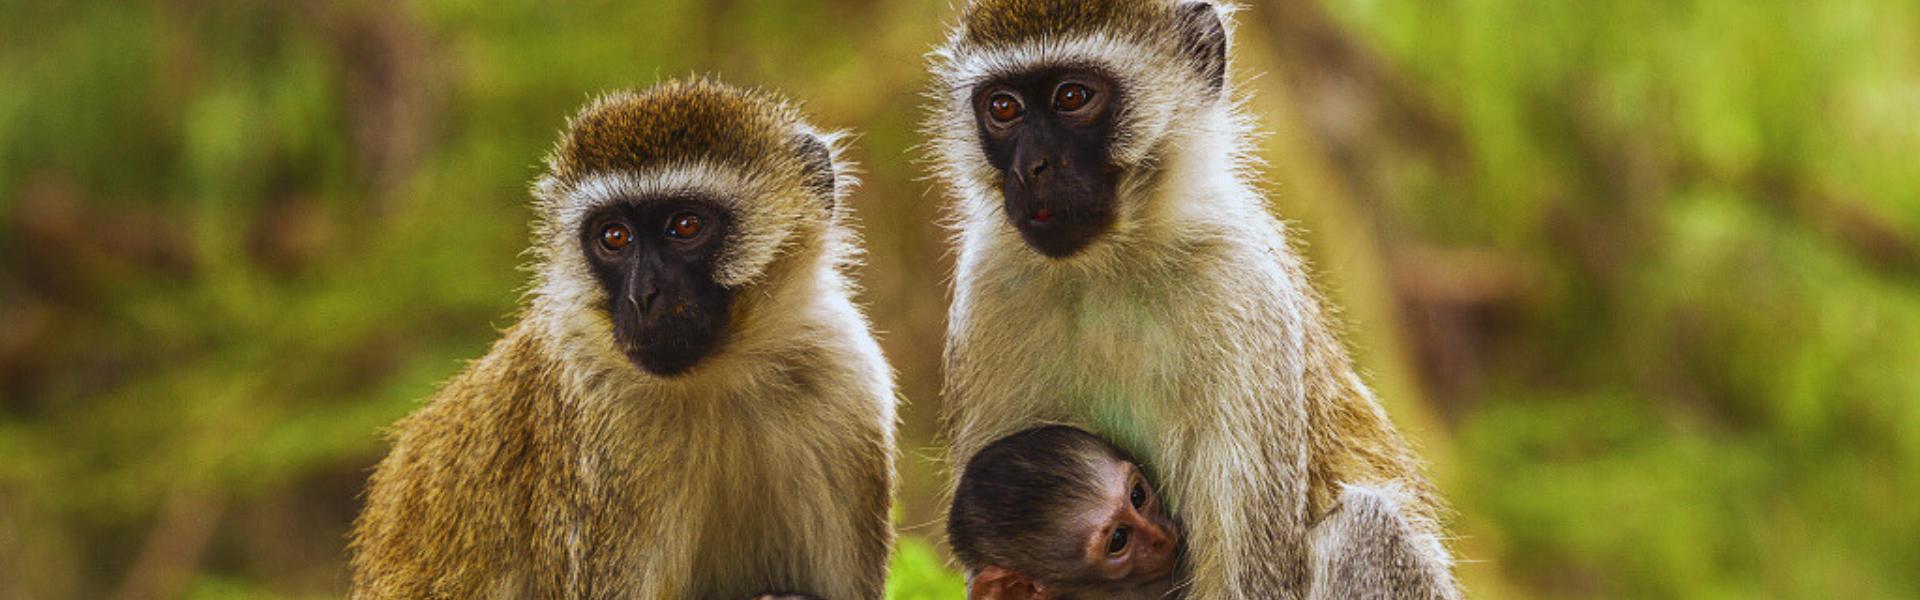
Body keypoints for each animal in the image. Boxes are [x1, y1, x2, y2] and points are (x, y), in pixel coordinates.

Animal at [347, 78, 897, 600]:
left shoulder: (844, 376)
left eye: (685, 226)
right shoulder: (595, 437)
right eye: (614, 237)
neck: (720, 378)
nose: (642, 296)